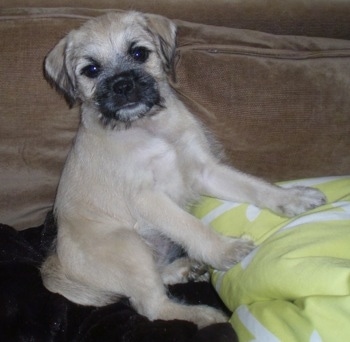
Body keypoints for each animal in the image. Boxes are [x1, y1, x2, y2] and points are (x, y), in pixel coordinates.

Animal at [40, 11, 326, 328]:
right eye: (91, 70)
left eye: (138, 53)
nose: (122, 85)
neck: (148, 127)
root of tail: (57, 263)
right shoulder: (147, 197)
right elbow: (190, 226)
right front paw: (224, 250)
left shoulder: (205, 169)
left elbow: (253, 186)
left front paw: (292, 197)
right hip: (129, 246)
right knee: (152, 306)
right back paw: (206, 315)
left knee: (153, 283)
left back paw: (183, 269)